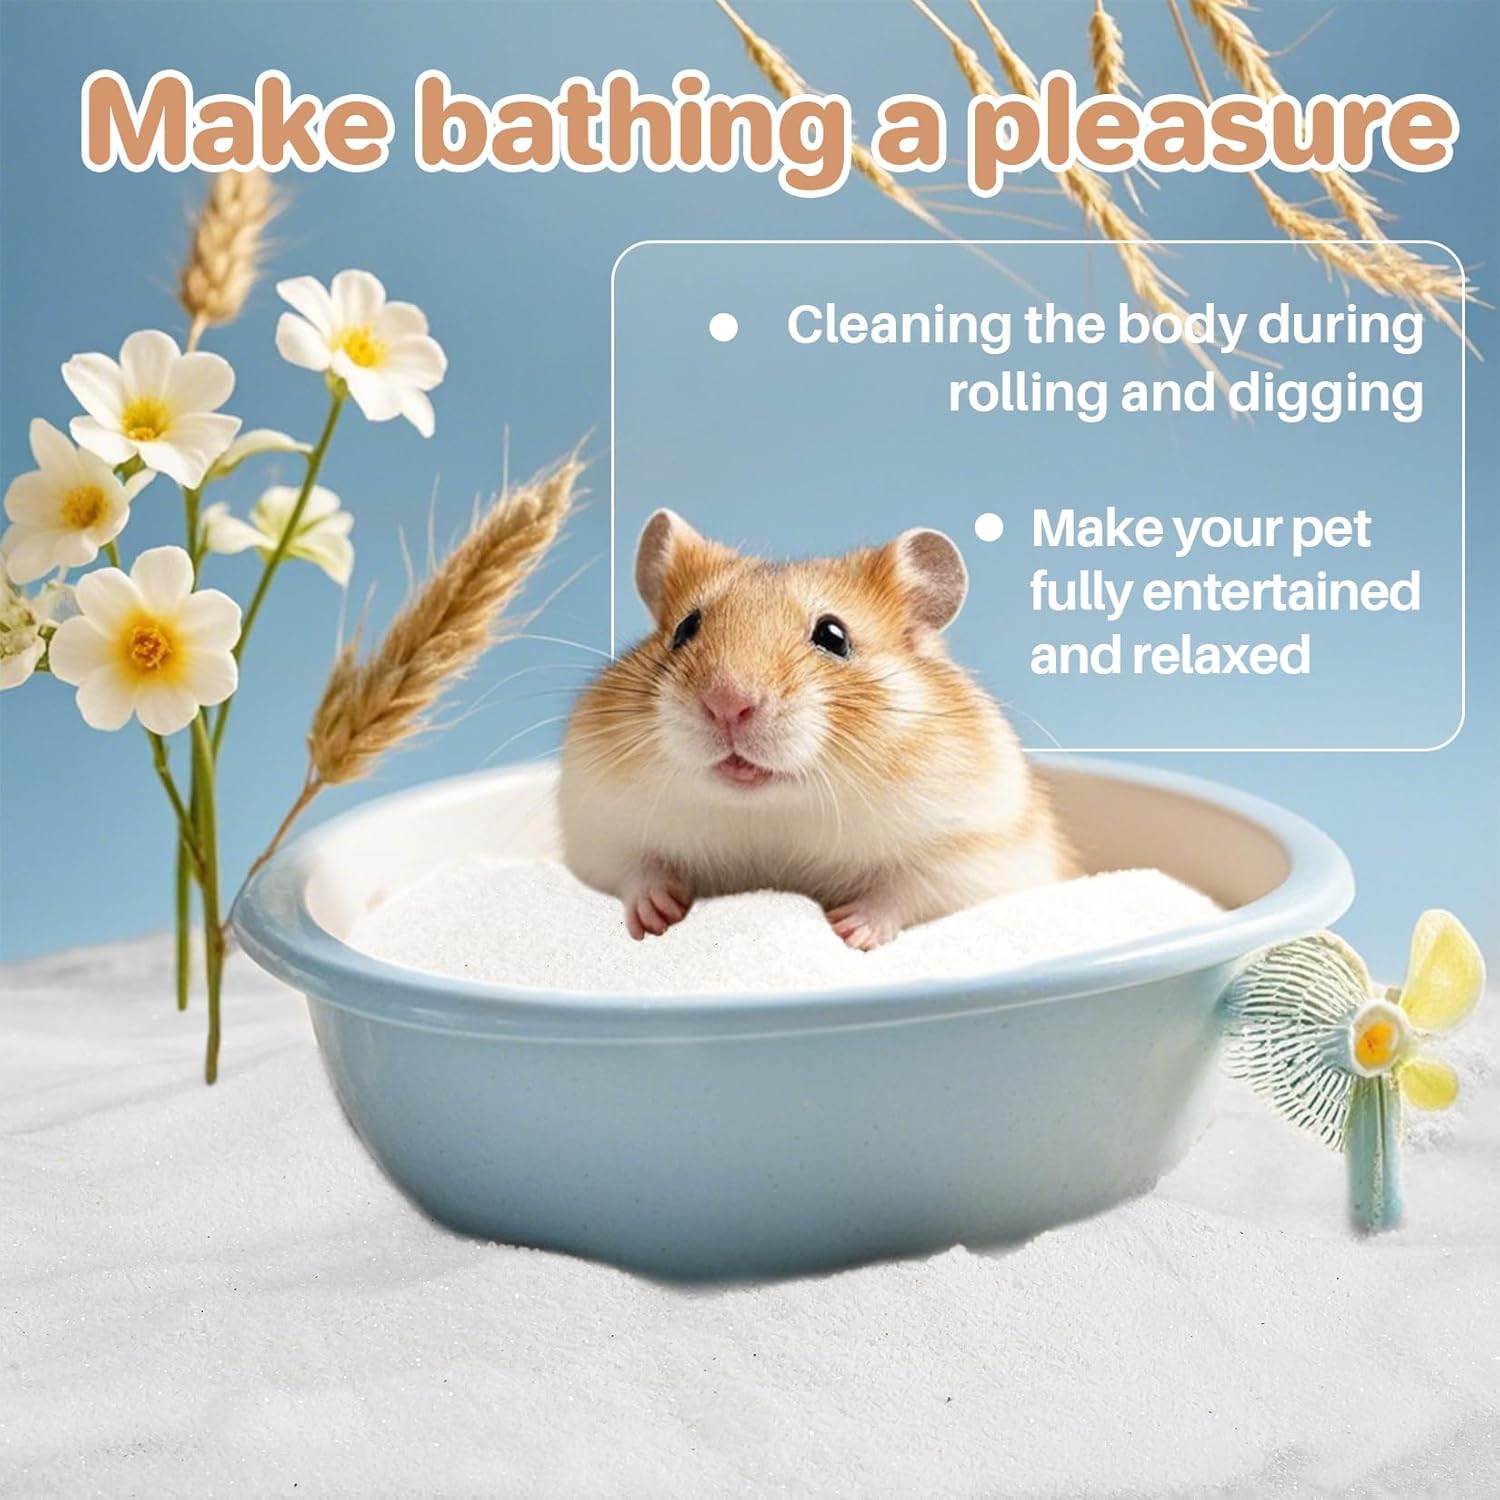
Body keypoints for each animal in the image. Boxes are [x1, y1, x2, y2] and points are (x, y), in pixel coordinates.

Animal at [559, 510, 1071, 947]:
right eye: (686, 628)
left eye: (833, 636)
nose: (727, 703)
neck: (773, 810)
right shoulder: (599, 827)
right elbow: (636, 869)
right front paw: (656, 920)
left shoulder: (973, 849)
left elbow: (904, 892)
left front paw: (847, 931)